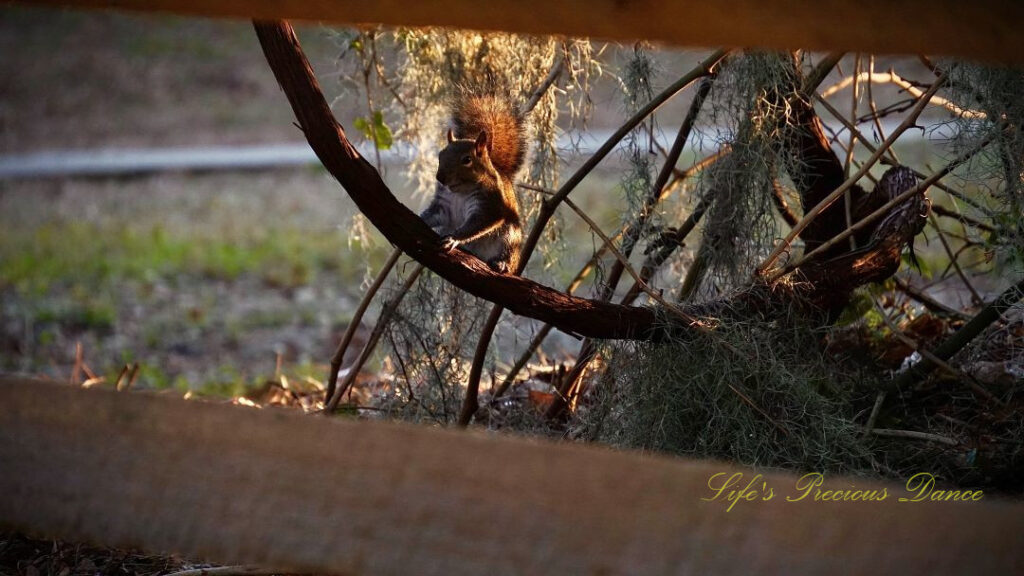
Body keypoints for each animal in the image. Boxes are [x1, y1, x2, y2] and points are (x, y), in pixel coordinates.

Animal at [417, 93, 524, 272]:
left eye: (467, 160)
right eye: (440, 154)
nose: (440, 178)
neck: (459, 191)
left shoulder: (489, 202)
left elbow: (477, 223)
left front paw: (453, 239)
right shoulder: (444, 205)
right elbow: (434, 214)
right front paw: (422, 217)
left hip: (510, 237)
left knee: (509, 254)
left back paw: (502, 263)